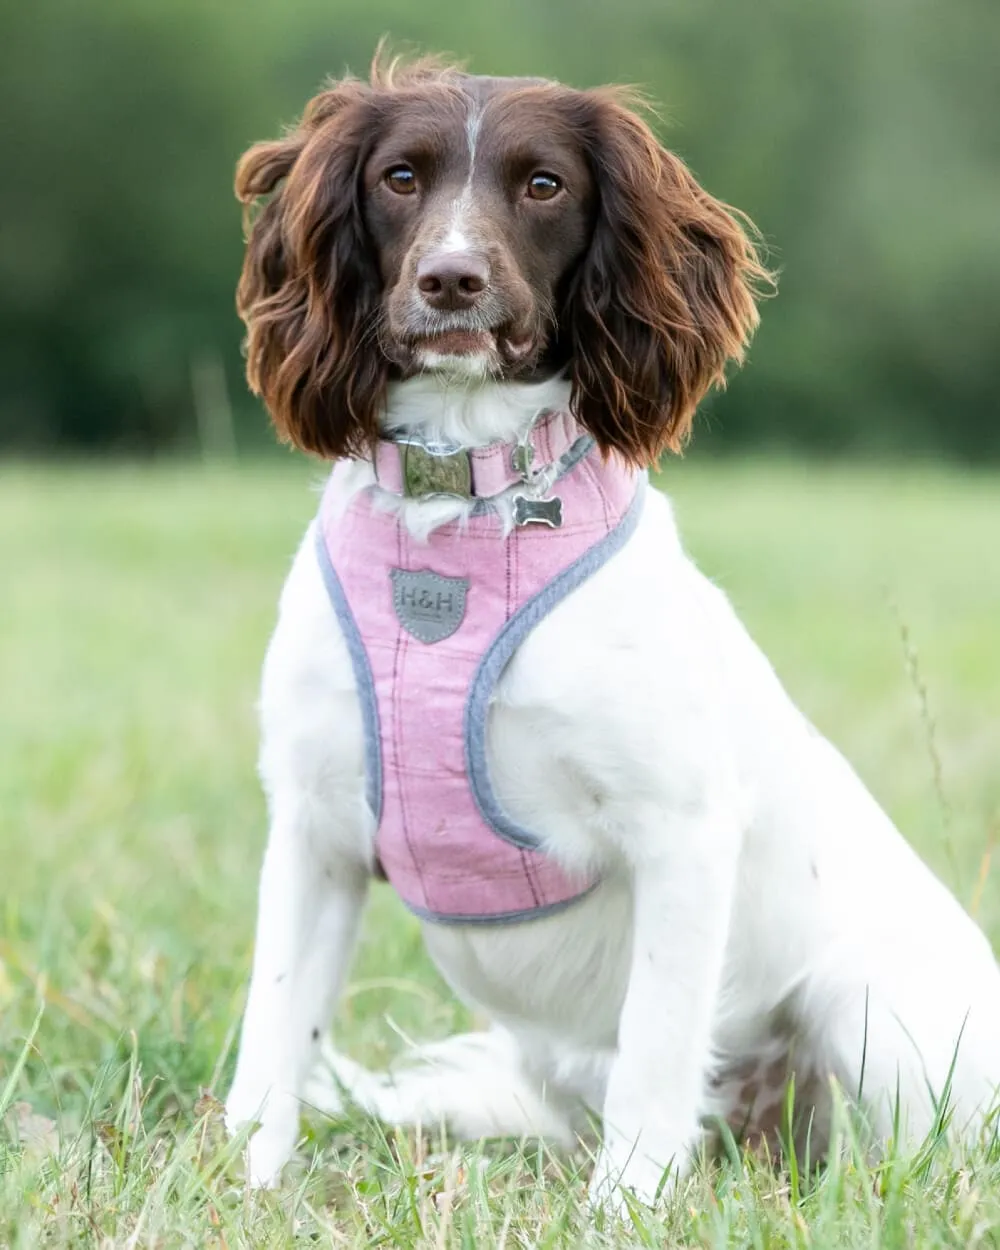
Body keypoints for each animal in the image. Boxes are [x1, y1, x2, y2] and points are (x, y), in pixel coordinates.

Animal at [225, 56, 1000, 1210]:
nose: (451, 279)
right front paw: (241, 1184)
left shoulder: (682, 831)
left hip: (865, 1005)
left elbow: (655, 1051)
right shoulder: (315, 826)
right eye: (400, 177)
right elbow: (272, 1030)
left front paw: (622, 1208)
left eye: (543, 184)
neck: (462, 518)